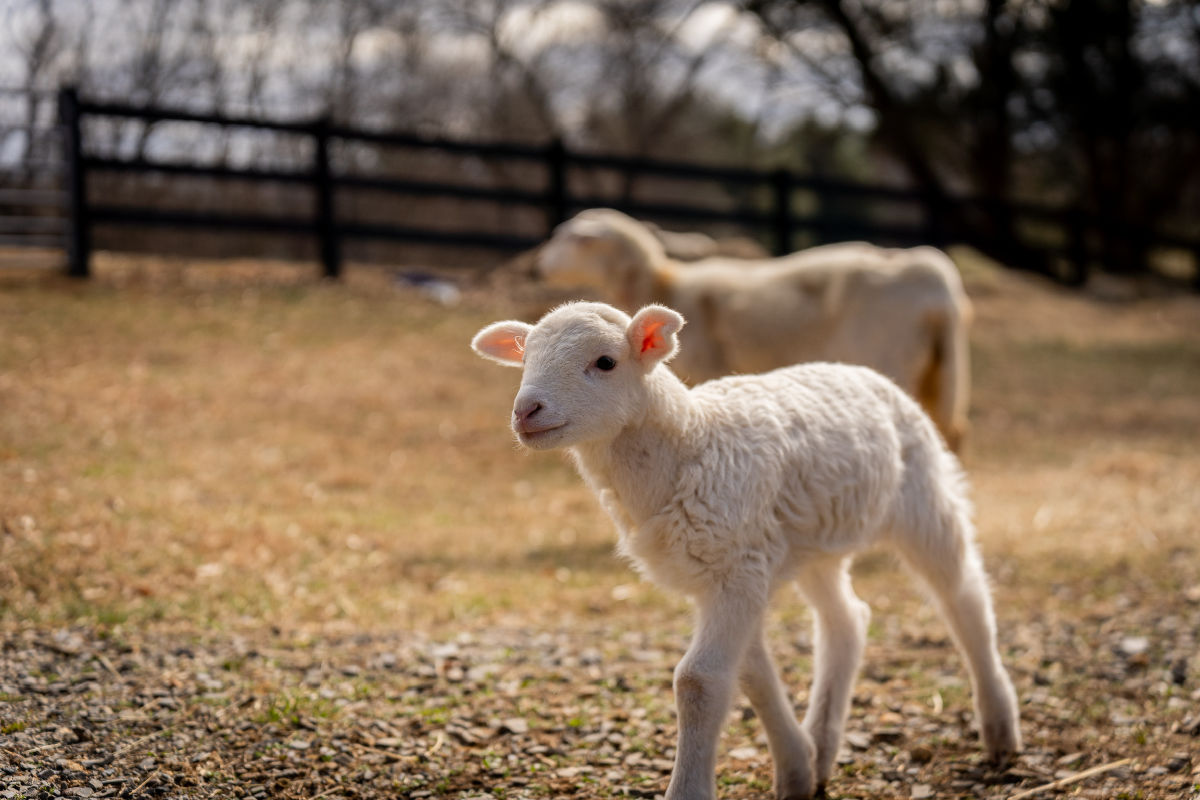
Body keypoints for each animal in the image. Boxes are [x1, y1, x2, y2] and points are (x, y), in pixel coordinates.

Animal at [472, 299, 1017, 800]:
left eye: (605, 362)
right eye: (525, 360)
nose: (526, 411)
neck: (688, 445)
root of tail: (855, 369)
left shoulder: (737, 570)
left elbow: (699, 682)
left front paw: (691, 789)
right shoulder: (725, 572)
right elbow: (751, 674)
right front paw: (796, 768)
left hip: (923, 497)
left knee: (964, 597)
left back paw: (1000, 730)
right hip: (813, 542)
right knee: (847, 619)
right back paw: (823, 747)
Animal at [535, 209, 974, 453]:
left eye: (571, 239)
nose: (540, 265)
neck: (664, 285)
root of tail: (938, 288)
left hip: (891, 357)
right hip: (940, 368)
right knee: (952, 432)